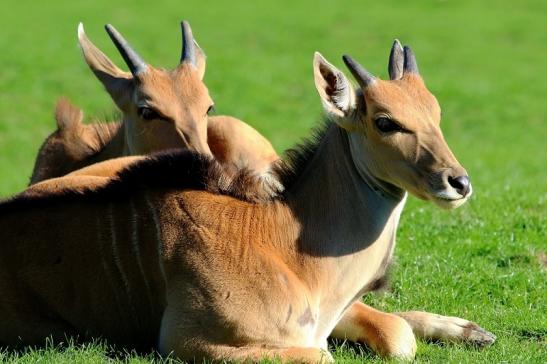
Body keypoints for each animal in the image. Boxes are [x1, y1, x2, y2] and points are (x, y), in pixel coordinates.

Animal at [1, 40, 496, 362]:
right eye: (385, 121)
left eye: (435, 112)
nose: (458, 182)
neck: (286, 243)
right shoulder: (190, 343)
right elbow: (327, 353)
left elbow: (395, 337)